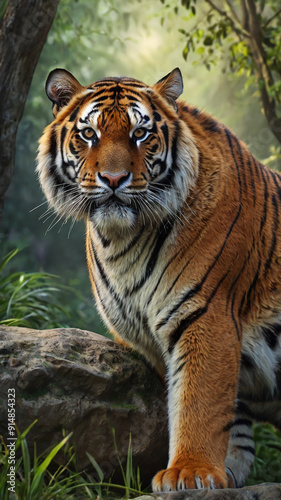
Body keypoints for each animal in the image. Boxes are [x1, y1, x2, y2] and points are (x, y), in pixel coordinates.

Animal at [36, 67, 280, 492]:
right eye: (89, 134)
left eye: (140, 133)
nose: (113, 178)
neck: (121, 240)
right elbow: (217, 411)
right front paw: (223, 470)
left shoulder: (205, 313)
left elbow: (198, 400)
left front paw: (190, 472)